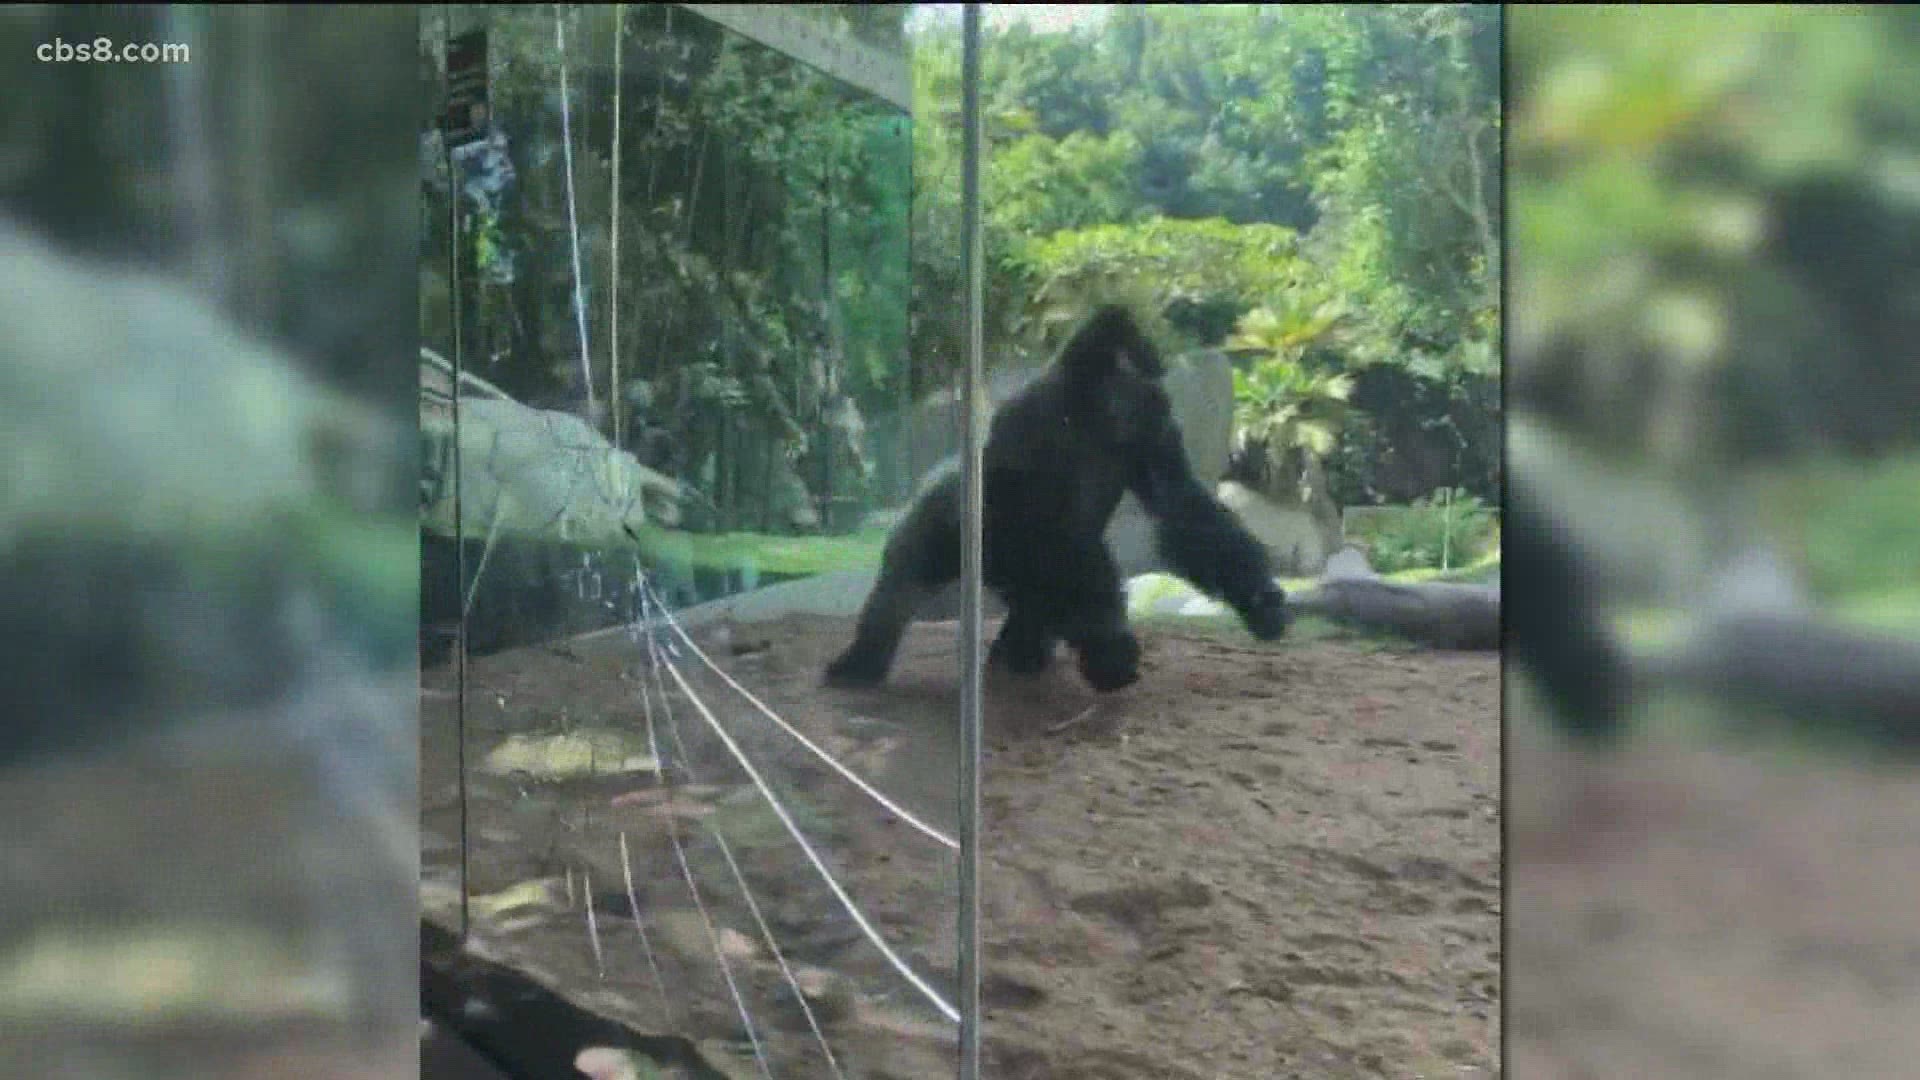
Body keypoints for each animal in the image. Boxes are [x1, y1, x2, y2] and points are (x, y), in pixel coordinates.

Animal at [825, 303, 1290, 687]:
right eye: (1154, 402)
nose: (1163, 413)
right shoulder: (1036, 428)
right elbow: (1052, 537)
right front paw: (1108, 648)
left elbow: (1182, 506)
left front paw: (1259, 600)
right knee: (908, 575)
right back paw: (865, 658)